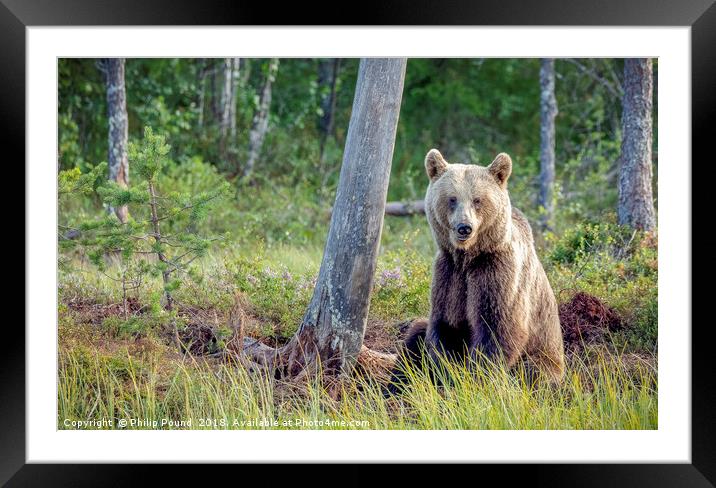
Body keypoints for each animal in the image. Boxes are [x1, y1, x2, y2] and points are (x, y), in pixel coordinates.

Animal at [400, 149, 564, 386]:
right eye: (452, 198)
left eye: (477, 200)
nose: (464, 227)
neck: (468, 256)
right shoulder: (449, 273)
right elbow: (445, 326)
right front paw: (449, 373)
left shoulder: (497, 271)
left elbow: (498, 327)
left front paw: (477, 378)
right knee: (416, 336)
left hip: (545, 357)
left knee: (532, 371)